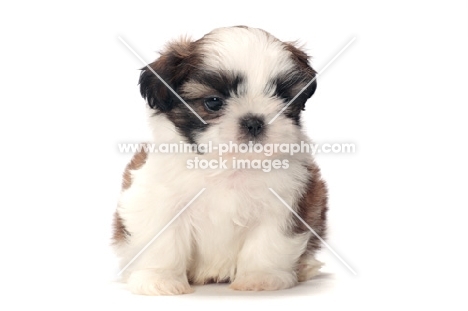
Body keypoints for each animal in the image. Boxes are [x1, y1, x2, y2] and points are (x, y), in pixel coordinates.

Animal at [111, 25, 328, 296]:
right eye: (213, 102)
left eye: (284, 99)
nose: (254, 121)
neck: (229, 165)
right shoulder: (159, 199)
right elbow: (162, 241)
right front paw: (159, 279)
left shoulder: (286, 202)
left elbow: (268, 242)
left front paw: (261, 277)